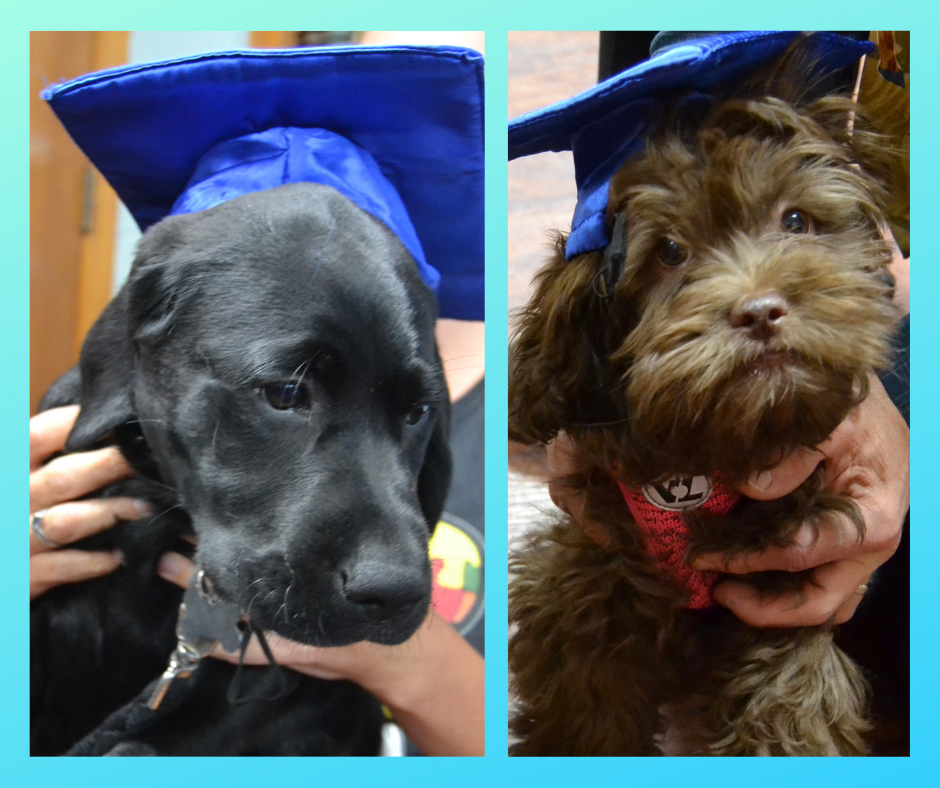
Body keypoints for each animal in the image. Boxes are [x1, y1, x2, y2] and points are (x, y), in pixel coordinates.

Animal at [510, 47, 900, 756]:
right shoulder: (589, 588)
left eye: (795, 221)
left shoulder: (790, 604)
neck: (708, 451)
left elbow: (789, 715)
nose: (760, 311)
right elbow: (588, 713)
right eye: (669, 252)